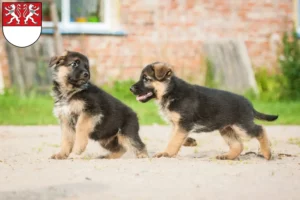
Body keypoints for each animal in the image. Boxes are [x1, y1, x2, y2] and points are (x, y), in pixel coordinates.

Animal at [130, 61, 278, 160]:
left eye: (146, 79)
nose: (131, 89)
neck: (171, 91)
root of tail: (249, 104)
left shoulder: (183, 124)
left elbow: (174, 140)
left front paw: (167, 153)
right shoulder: (176, 124)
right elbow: (173, 137)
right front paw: (189, 141)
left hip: (242, 127)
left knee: (260, 129)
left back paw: (267, 152)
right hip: (226, 129)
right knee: (238, 145)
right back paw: (227, 156)